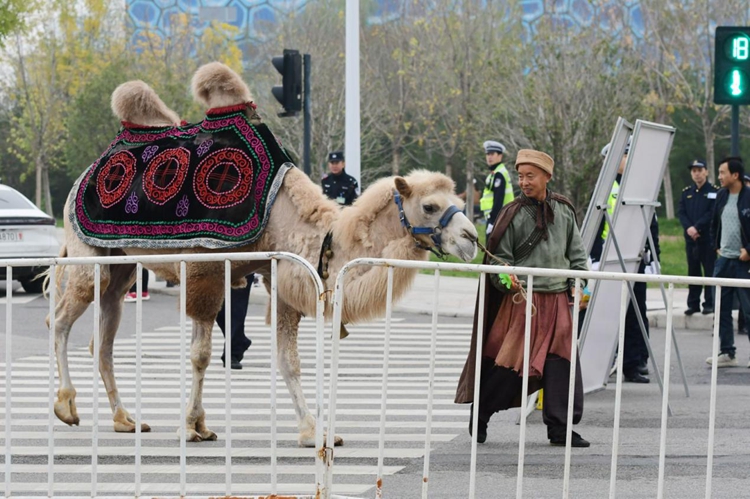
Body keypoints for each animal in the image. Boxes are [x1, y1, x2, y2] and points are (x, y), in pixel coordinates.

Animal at [50, 60, 478, 448]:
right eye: (429, 206)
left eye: (458, 201)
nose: (471, 238)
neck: (288, 219)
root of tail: (83, 177)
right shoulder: (204, 271)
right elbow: (201, 354)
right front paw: (192, 426)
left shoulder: (279, 274)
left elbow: (288, 360)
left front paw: (314, 432)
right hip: (87, 255)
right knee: (61, 320)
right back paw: (66, 407)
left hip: (120, 267)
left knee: (102, 338)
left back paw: (124, 419)